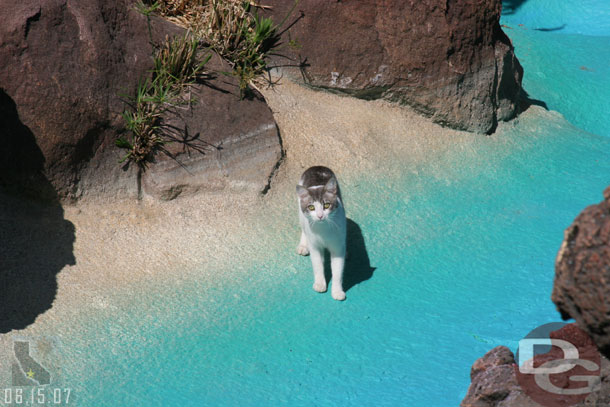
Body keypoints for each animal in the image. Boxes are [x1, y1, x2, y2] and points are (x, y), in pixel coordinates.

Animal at [296, 164, 344, 302]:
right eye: (311, 207)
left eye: (326, 205)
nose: (320, 215)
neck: (324, 229)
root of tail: (316, 166)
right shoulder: (315, 247)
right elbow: (317, 265)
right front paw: (320, 283)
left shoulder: (337, 248)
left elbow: (338, 271)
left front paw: (337, 291)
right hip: (300, 213)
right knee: (304, 229)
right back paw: (303, 245)